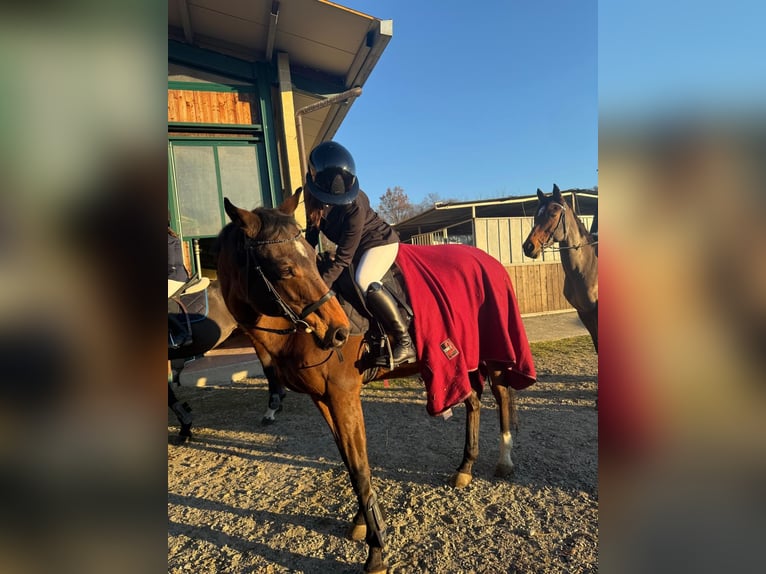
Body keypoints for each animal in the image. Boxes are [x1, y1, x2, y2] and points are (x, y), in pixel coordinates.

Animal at [216, 191, 535, 574]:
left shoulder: (343, 395)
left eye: (308, 255)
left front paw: (376, 549)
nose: (339, 332)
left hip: (492, 352)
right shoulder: (324, 399)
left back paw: (505, 461)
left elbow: (359, 467)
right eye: (284, 268)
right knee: (473, 400)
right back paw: (465, 468)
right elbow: (352, 463)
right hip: (463, 358)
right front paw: (363, 523)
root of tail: (488, 260)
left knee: (503, 397)